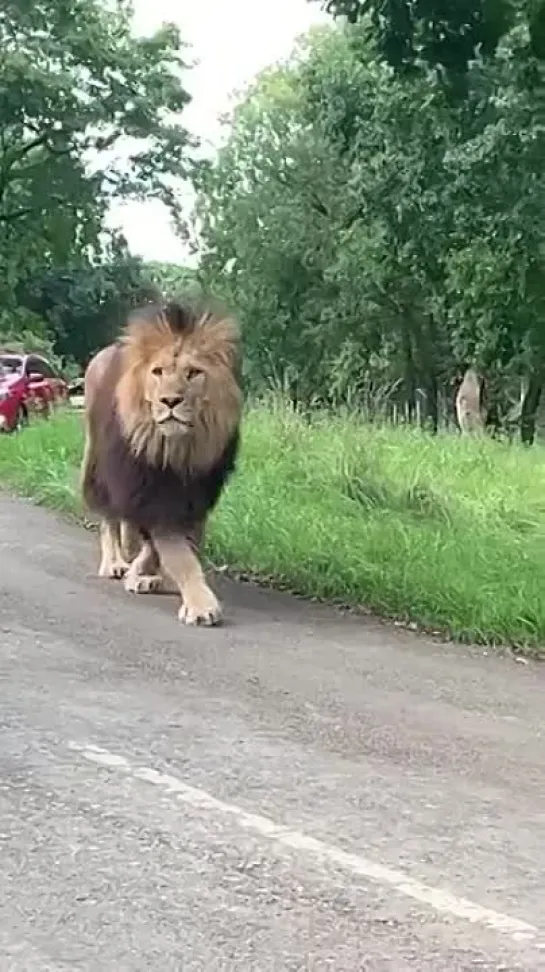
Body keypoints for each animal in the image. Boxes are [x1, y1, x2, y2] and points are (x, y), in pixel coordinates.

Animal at [79, 296, 241, 628]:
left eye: (193, 373)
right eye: (158, 372)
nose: (170, 401)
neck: (176, 449)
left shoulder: (193, 495)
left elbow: (167, 546)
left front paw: (142, 573)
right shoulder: (144, 487)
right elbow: (178, 554)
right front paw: (200, 605)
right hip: (97, 462)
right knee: (109, 518)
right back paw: (114, 562)